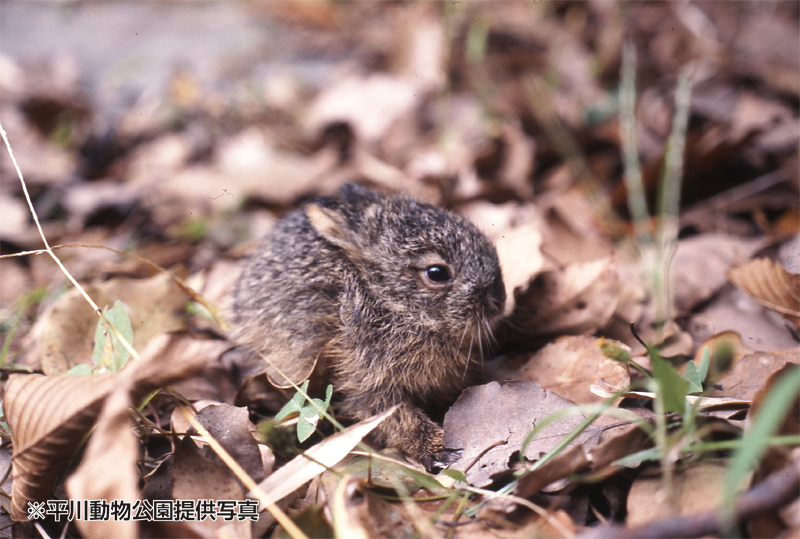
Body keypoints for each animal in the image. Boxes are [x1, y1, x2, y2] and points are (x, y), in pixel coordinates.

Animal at [233, 184, 506, 470]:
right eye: (436, 273)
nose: (499, 299)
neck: (385, 298)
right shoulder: (365, 378)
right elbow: (396, 418)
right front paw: (439, 449)